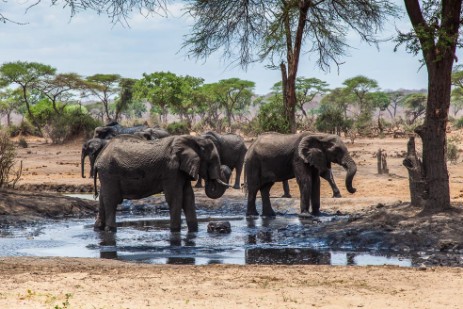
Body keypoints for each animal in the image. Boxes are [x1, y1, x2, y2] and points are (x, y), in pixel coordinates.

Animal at [94, 134, 232, 232]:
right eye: (212, 161)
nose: (225, 169)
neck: (194, 139)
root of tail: (98, 158)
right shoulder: (171, 169)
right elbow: (175, 197)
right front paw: (175, 231)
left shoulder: (181, 170)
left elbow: (188, 197)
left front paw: (194, 231)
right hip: (109, 172)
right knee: (112, 199)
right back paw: (111, 230)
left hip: (106, 174)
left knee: (102, 197)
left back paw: (98, 229)